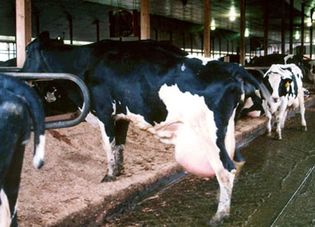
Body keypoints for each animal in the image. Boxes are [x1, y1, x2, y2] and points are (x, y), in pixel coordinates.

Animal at [21, 31, 266, 223]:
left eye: (28, 51)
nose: (22, 75)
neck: (85, 63)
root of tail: (230, 67)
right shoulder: (121, 116)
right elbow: (120, 145)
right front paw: (119, 171)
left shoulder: (104, 112)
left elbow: (108, 145)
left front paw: (108, 175)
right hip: (225, 132)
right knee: (236, 161)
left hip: (209, 133)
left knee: (226, 169)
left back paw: (220, 215)